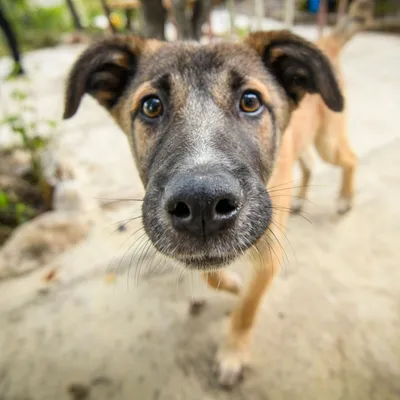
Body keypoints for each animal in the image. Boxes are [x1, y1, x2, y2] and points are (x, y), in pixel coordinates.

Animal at [61, 0, 372, 388]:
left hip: (328, 138)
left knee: (348, 158)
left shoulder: (268, 252)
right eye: (151, 106)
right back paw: (301, 198)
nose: (202, 205)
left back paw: (345, 198)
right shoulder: (197, 251)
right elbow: (210, 273)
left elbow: (247, 309)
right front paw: (232, 284)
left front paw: (232, 354)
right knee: (309, 162)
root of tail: (325, 43)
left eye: (251, 101)